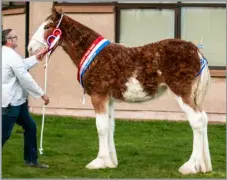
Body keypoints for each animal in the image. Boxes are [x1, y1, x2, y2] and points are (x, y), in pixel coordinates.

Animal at [28, 5, 213, 174]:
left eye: (47, 26)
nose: (30, 48)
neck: (96, 56)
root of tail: (197, 52)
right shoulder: (109, 99)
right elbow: (110, 126)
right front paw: (110, 162)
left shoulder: (98, 96)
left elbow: (101, 127)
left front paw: (99, 161)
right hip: (193, 96)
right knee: (203, 118)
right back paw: (204, 166)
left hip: (182, 92)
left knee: (197, 121)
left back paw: (190, 166)